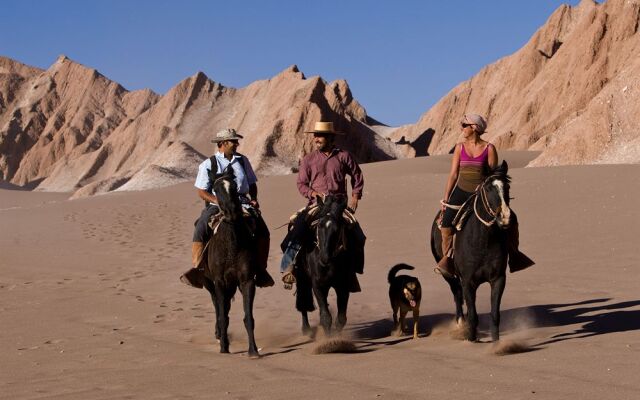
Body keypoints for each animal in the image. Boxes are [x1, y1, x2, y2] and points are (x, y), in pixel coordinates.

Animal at [201, 167, 258, 358]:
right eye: (215, 189)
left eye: (234, 186)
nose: (232, 213)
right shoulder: (219, 281)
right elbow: (222, 315)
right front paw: (224, 347)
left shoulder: (246, 280)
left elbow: (248, 317)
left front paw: (253, 350)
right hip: (210, 283)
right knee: (218, 307)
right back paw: (219, 335)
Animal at [296, 195, 360, 336]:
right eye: (319, 226)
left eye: (336, 229)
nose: (324, 258)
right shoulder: (317, 285)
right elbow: (326, 317)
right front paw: (329, 339)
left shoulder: (343, 285)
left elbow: (341, 318)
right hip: (302, 278)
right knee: (303, 301)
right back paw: (306, 329)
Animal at [430, 159, 516, 340]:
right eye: (488, 188)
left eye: (507, 187)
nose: (505, 217)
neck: (482, 241)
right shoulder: (468, 281)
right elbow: (473, 315)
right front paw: (471, 339)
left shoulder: (498, 279)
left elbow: (495, 314)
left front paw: (497, 343)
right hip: (448, 274)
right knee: (456, 293)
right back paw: (460, 324)